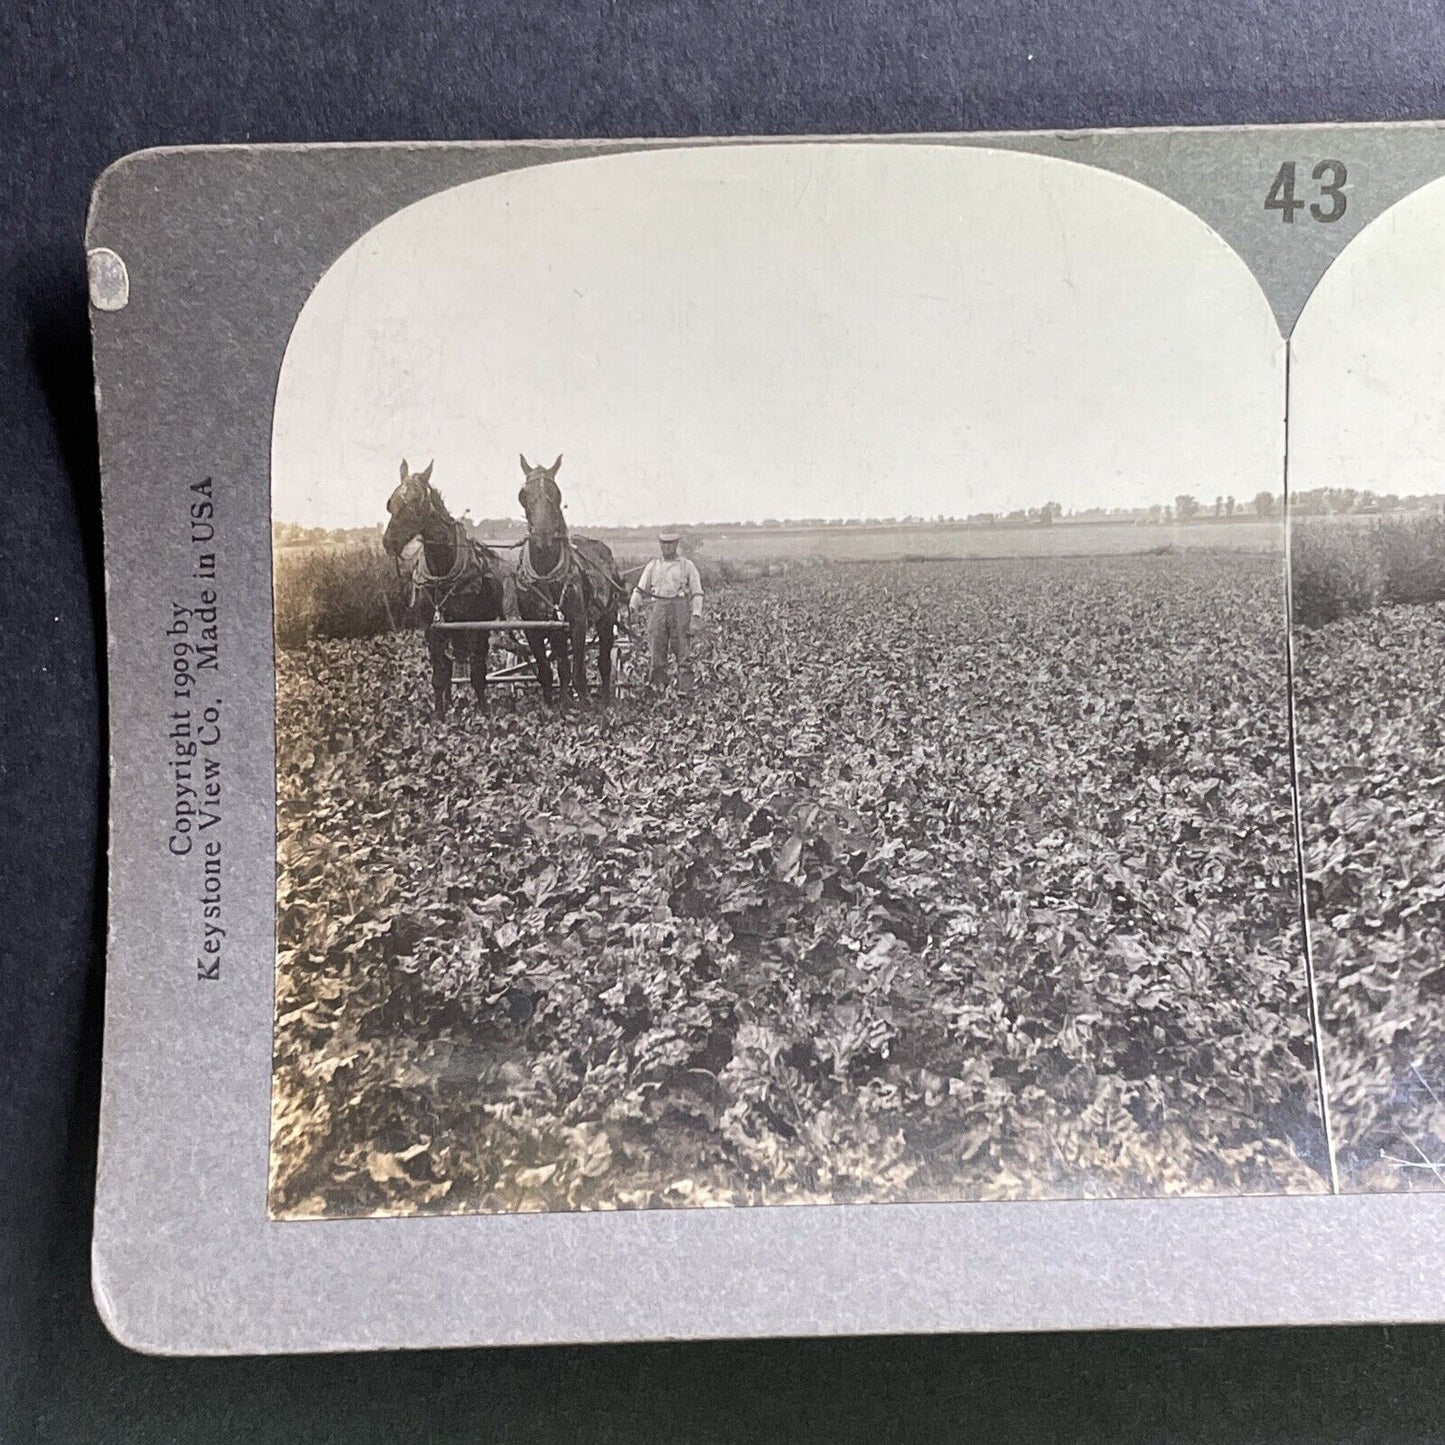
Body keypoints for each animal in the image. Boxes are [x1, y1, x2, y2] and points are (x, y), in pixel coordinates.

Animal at [381, 459, 505, 719]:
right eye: (391, 501)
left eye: (417, 500)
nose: (390, 542)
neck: (442, 572)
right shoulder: (432, 630)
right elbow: (440, 674)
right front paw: (439, 714)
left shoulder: (475, 627)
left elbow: (477, 673)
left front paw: (484, 712)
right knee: (448, 665)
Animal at [514, 450, 621, 699]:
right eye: (523, 495)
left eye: (557, 493)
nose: (543, 536)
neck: (546, 573)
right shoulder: (533, 627)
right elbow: (547, 672)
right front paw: (554, 704)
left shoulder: (578, 622)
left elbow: (579, 672)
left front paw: (582, 703)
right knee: (563, 663)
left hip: (607, 617)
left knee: (604, 661)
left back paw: (605, 699)